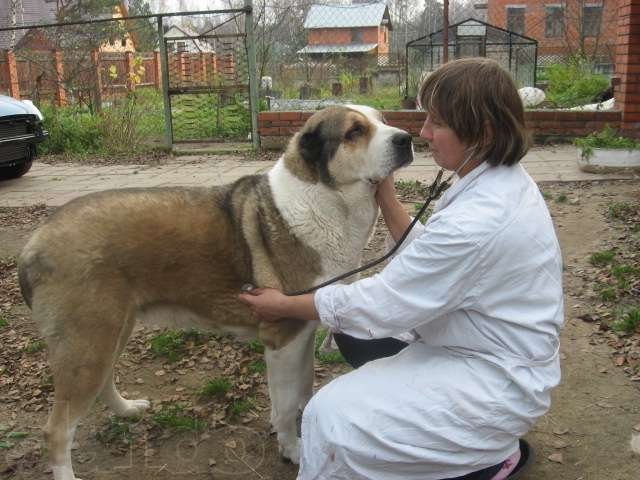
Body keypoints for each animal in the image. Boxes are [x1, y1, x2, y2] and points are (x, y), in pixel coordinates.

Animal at [18, 103, 416, 478]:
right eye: (354, 132)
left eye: (382, 121)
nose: (406, 139)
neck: (322, 198)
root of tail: (34, 243)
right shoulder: (283, 338)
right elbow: (287, 404)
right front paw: (292, 450)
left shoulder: (302, 333)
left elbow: (302, 389)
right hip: (89, 345)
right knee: (57, 430)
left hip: (111, 333)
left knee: (102, 384)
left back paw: (127, 409)